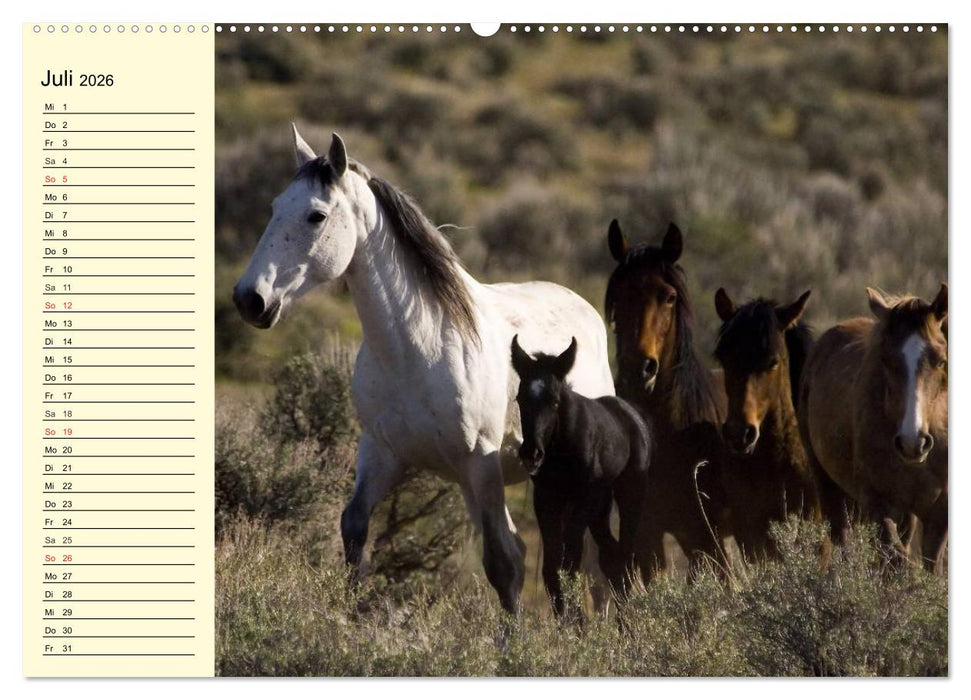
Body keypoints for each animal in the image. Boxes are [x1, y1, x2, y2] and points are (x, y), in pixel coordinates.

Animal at [232, 125, 616, 613]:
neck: (418, 349)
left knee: (591, 562)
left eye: (316, 216)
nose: (249, 299)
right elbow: (354, 532)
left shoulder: (480, 463)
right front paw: (350, 619)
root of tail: (583, 307)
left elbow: (502, 564)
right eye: (275, 206)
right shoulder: (382, 451)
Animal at [511, 335, 651, 618]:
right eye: (519, 398)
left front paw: (577, 622)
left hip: (628, 494)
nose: (531, 453)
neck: (562, 448)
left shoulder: (583, 496)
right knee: (612, 556)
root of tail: (635, 417)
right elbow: (552, 568)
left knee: (625, 556)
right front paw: (566, 622)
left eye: (554, 401)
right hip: (601, 507)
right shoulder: (546, 498)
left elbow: (571, 563)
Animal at [798, 284, 947, 573]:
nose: (913, 443)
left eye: (941, 361)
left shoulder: (938, 513)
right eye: (886, 360)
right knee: (842, 538)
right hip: (828, 485)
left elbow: (929, 566)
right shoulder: (877, 503)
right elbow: (896, 560)